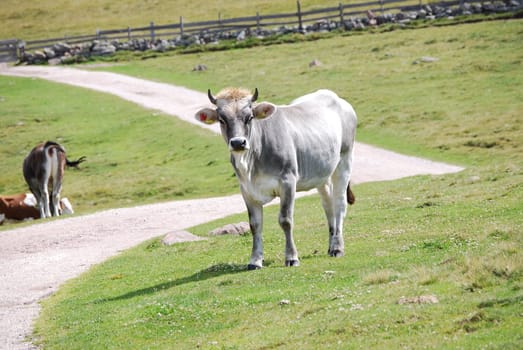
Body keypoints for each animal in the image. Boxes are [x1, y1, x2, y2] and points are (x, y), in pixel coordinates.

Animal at [194, 89, 358, 270]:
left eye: (249, 117)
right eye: (222, 119)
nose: (238, 143)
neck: (251, 165)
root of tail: (332, 95)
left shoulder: (288, 182)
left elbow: (285, 220)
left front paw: (292, 257)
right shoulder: (246, 190)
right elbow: (255, 225)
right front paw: (255, 260)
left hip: (345, 159)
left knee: (339, 204)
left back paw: (337, 247)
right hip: (322, 173)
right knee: (328, 205)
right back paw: (331, 245)